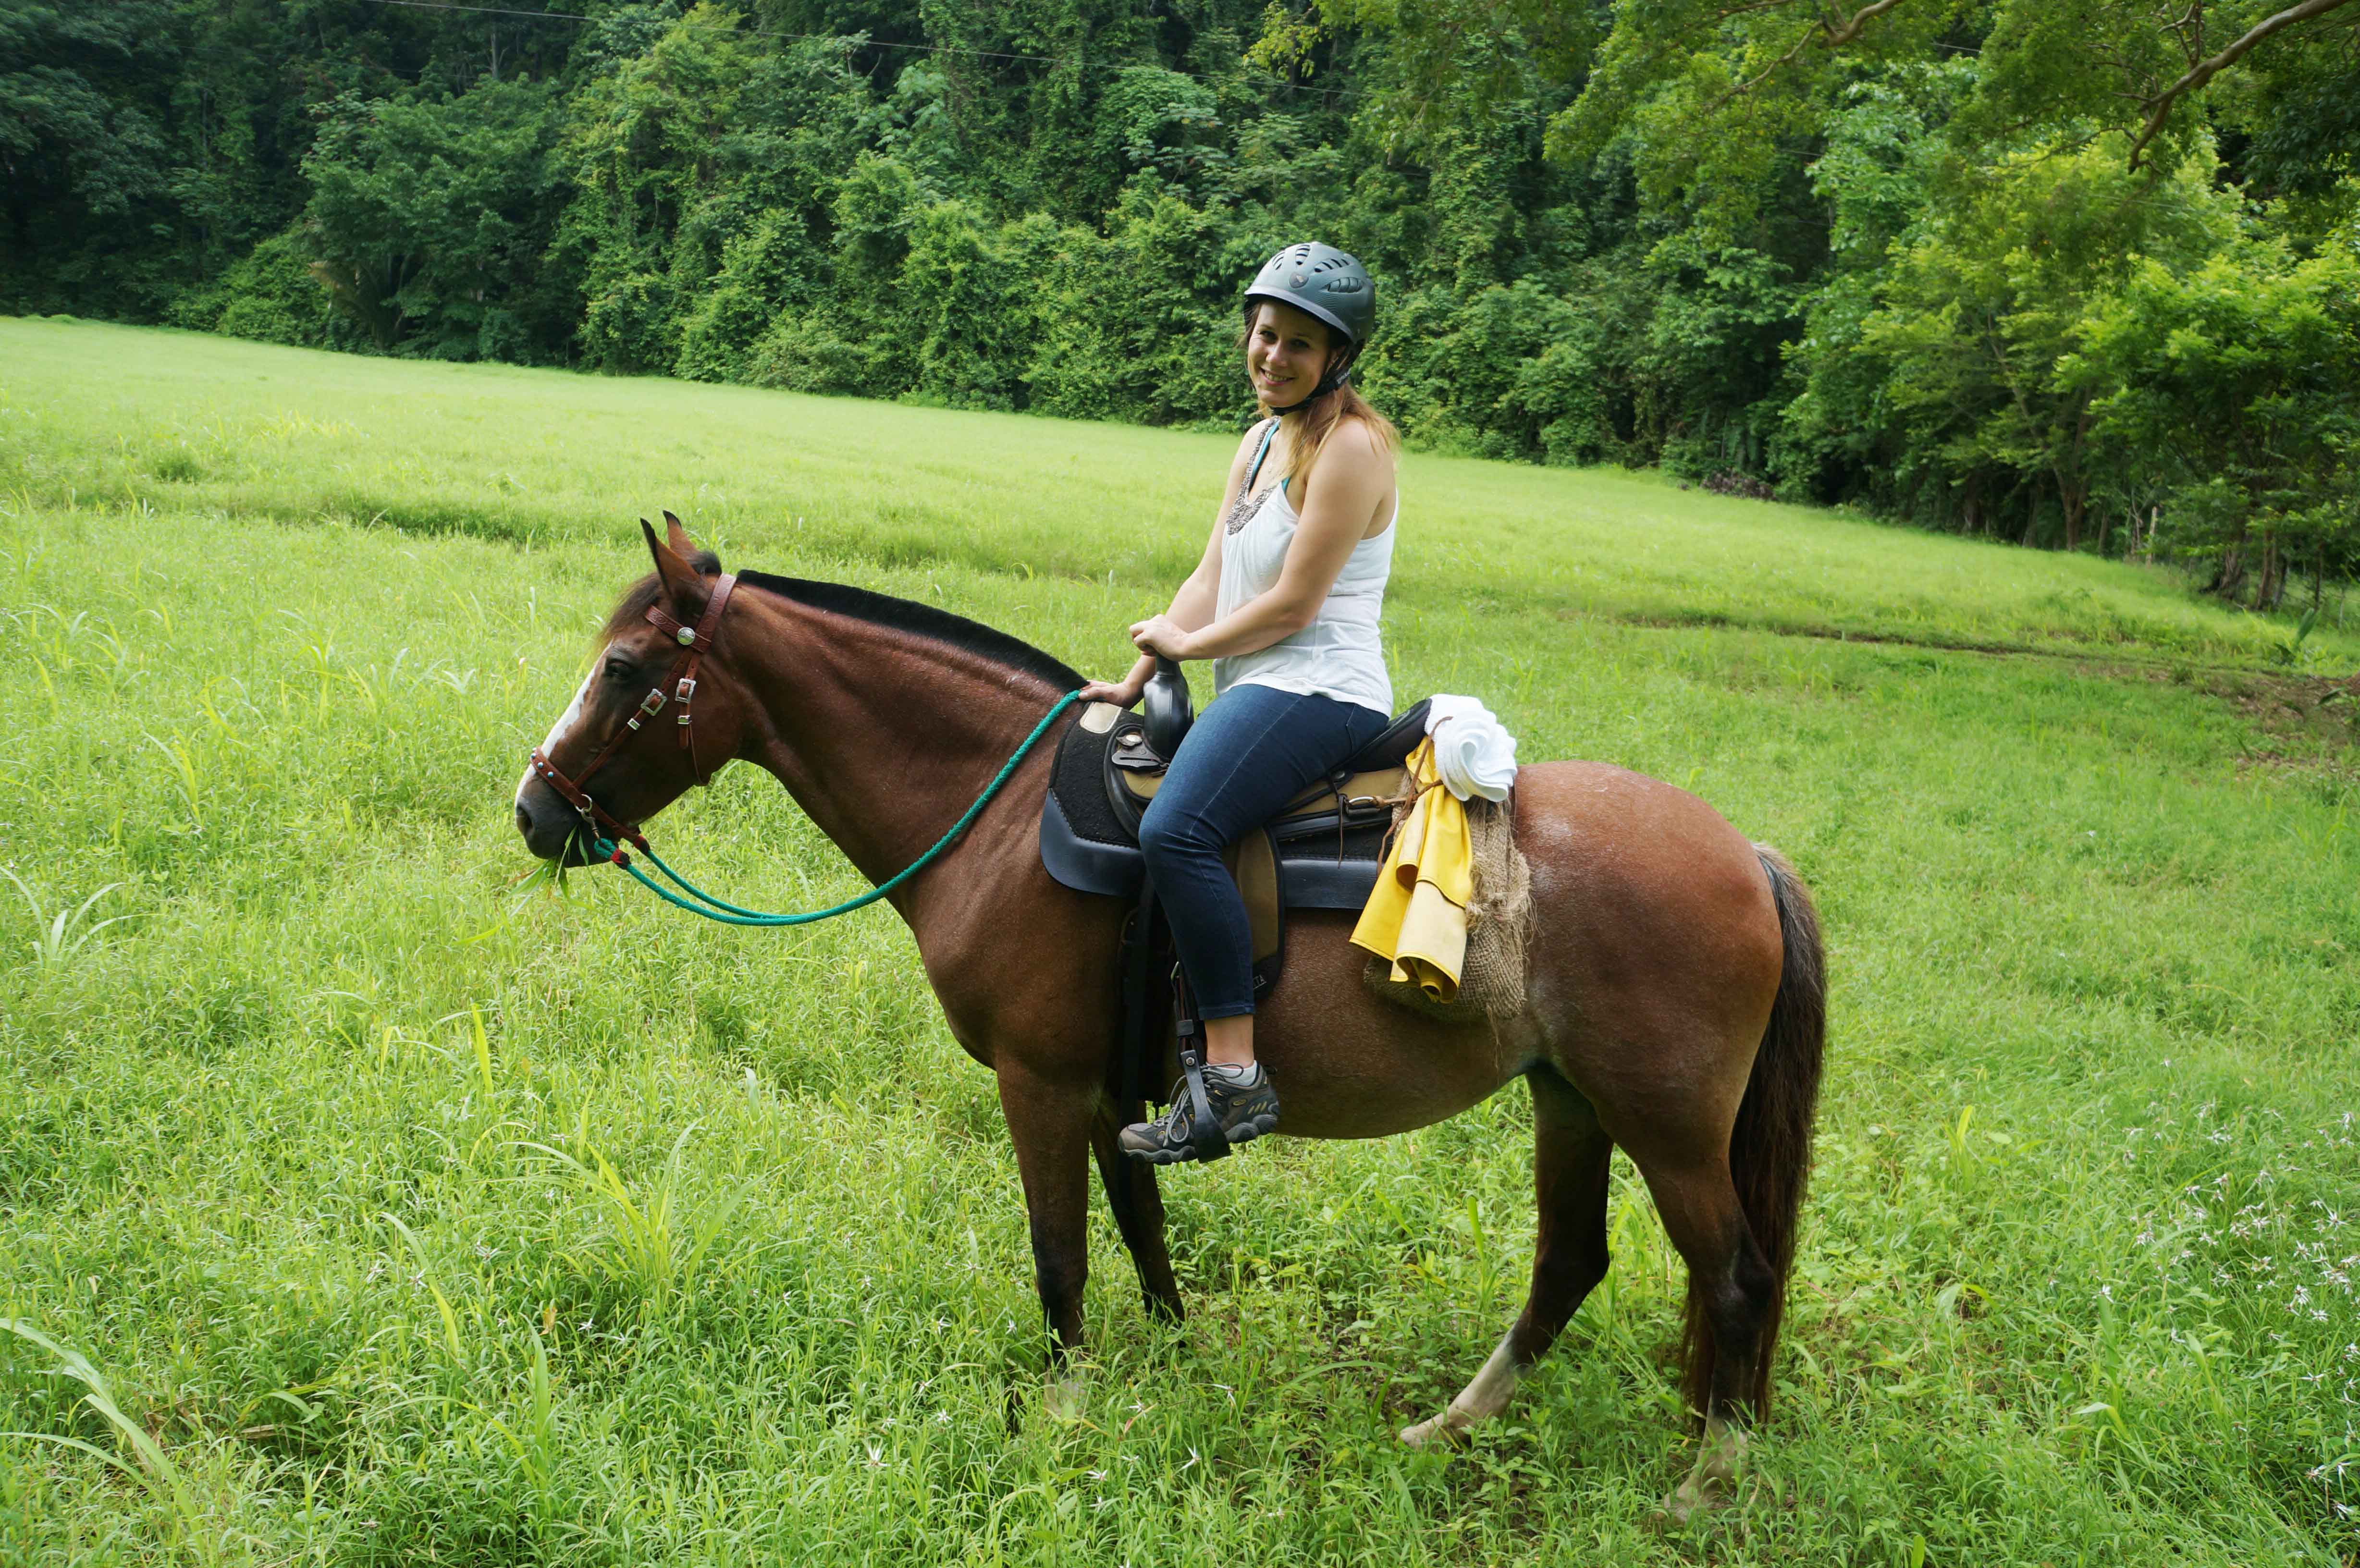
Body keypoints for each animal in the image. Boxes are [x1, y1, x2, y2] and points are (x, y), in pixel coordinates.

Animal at [516, 517, 1822, 1520]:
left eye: (625, 669)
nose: (536, 809)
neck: (999, 815)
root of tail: (1748, 858)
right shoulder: (1112, 1093)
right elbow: (1143, 1235)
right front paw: (1175, 1373)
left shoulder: (1039, 1084)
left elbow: (1060, 1253)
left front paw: (1059, 1417)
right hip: (1571, 1098)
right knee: (1568, 1263)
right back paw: (1448, 1429)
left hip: (1668, 1125)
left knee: (1738, 1279)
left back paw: (1708, 1481)